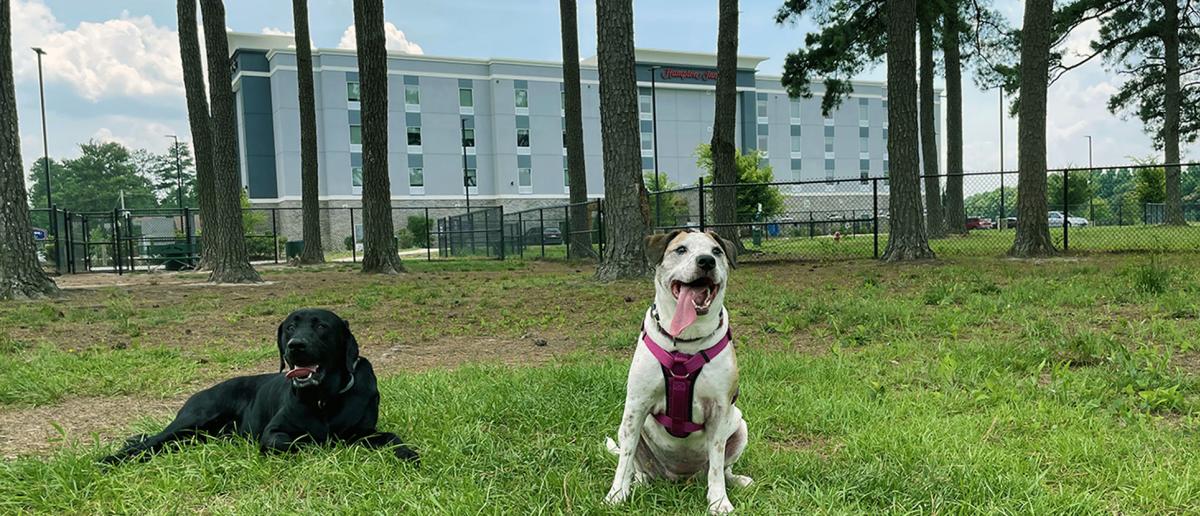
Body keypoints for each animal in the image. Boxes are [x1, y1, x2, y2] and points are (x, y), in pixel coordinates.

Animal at [104, 306, 422, 463]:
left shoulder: (363, 432)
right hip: (194, 418)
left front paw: (408, 454)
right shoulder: (273, 433)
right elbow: (298, 442)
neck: (324, 398)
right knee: (151, 441)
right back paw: (111, 459)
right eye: (290, 327)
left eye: (321, 326)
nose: (295, 345)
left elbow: (392, 438)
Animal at [609, 230, 748, 516]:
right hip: (629, 429)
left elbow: (717, 464)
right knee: (637, 465)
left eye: (717, 251)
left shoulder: (720, 409)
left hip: (740, 424)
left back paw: (736, 480)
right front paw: (616, 495)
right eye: (681, 250)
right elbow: (625, 460)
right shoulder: (636, 406)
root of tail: (679, 477)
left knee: (722, 468)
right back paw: (639, 482)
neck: (685, 341)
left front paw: (719, 501)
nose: (706, 261)